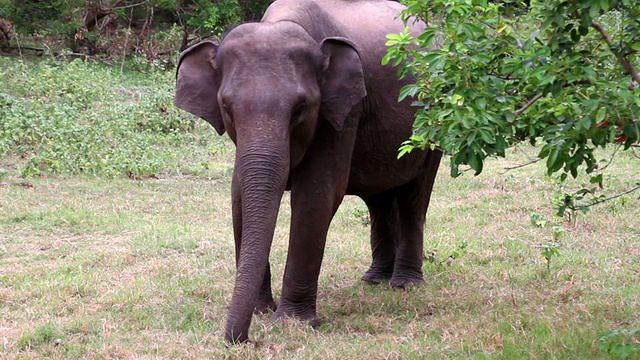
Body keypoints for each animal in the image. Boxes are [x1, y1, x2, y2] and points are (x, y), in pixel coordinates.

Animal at [172, 0, 442, 344]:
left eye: (300, 108)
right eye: (227, 108)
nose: (244, 339)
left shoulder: (342, 111)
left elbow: (317, 194)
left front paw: (293, 323)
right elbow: (239, 196)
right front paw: (262, 311)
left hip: (434, 120)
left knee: (414, 196)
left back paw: (404, 284)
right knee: (379, 198)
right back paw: (374, 279)